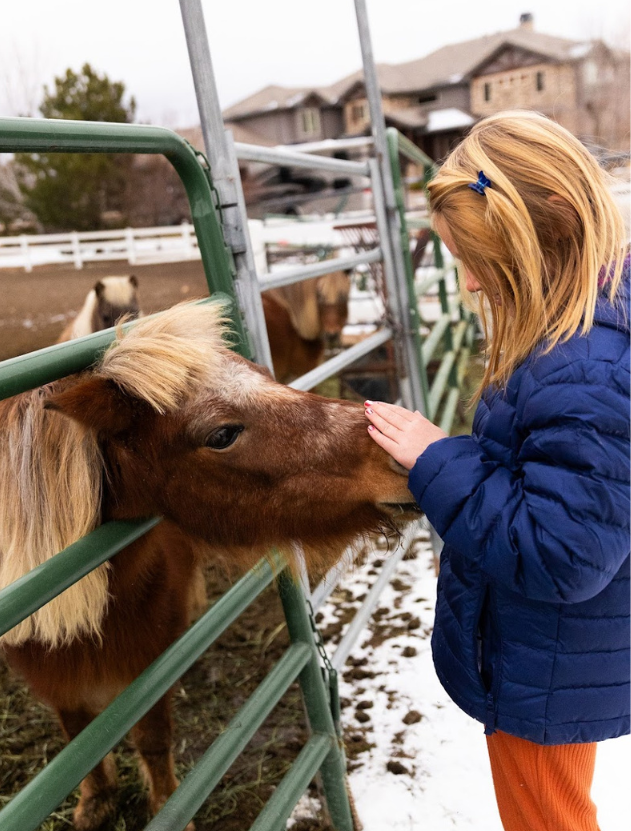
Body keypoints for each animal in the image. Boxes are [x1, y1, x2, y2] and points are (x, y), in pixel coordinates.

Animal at [0, 304, 418, 831]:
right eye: (221, 434)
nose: (400, 455)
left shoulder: (150, 664)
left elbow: (152, 738)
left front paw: (165, 804)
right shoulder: (53, 675)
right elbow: (77, 738)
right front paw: (95, 799)